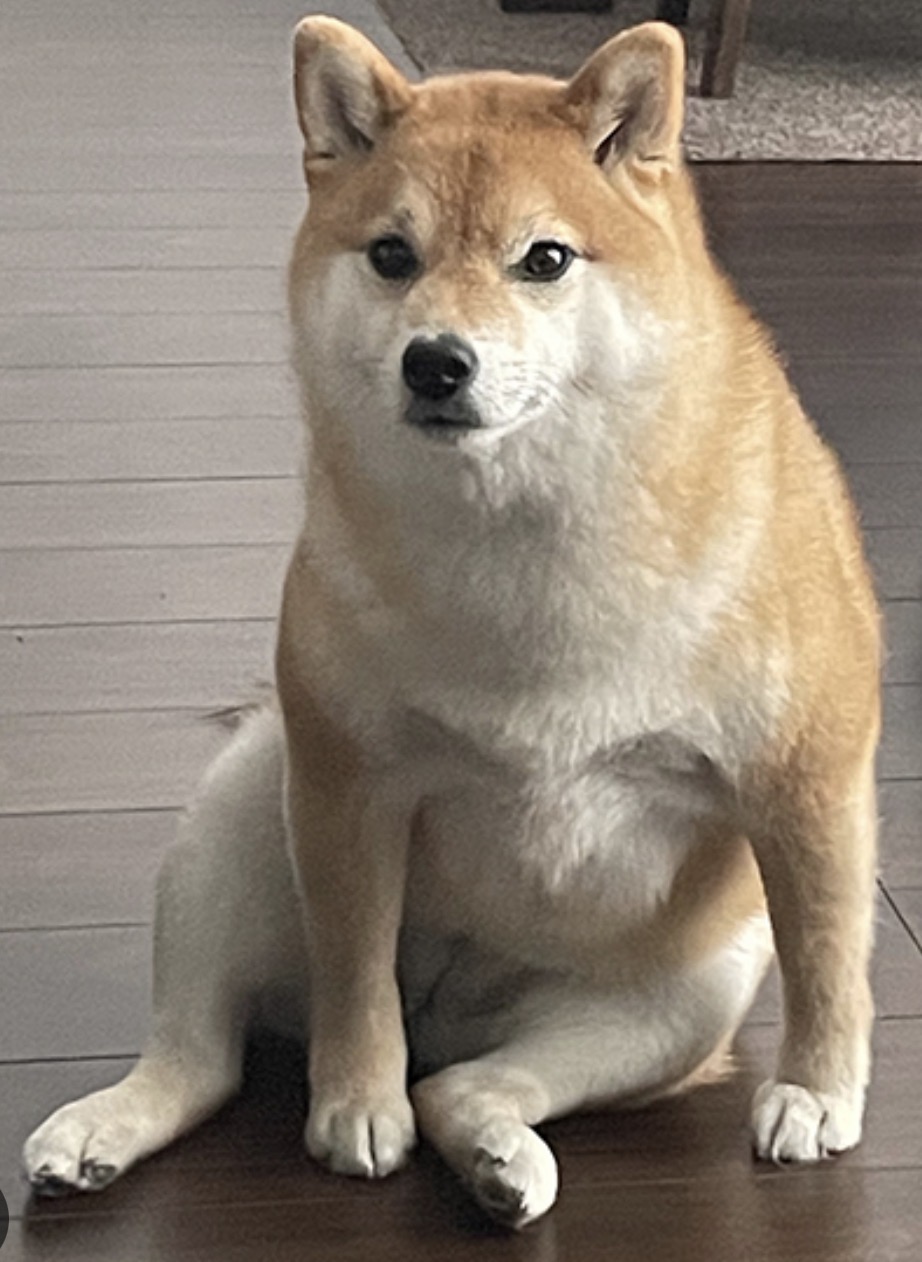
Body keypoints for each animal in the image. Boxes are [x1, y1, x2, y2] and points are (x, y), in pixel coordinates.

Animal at [23, 17, 880, 1228]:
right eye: (392, 256)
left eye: (546, 260)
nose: (435, 360)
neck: (524, 527)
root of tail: (453, 1013)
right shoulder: (349, 785)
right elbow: (353, 967)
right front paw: (352, 1103)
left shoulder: (806, 772)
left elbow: (829, 949)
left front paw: (817, 1090)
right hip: (243, 804)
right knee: (205, 1054)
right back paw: (105, 1128)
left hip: (678, 1000)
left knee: (467, 1087)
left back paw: (495, 1156)